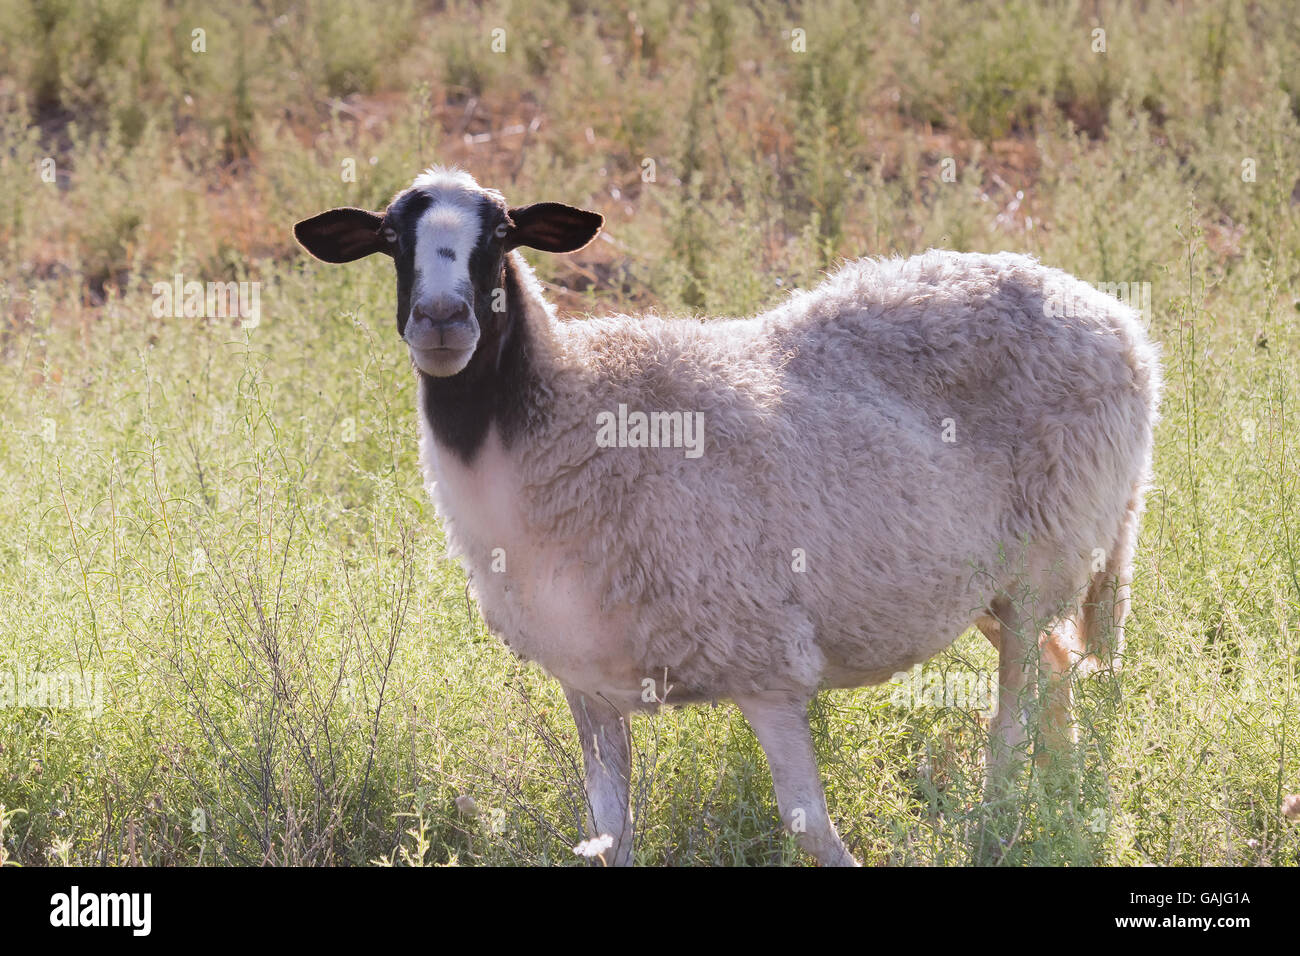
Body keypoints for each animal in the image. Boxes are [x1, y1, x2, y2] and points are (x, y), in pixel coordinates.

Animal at [292, 164, 1159, 868]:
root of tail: (1115, 319)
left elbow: (810, 826)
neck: (560, 416)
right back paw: (1062, 807)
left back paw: (999, 826)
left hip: (1051, 557)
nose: (441, 320)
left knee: (1012, 726)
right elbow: (611, 836)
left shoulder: (769, 663)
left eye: (502, 234)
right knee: (1057, 671)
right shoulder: (588, 681)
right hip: (1001, 585)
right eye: (390, 239)